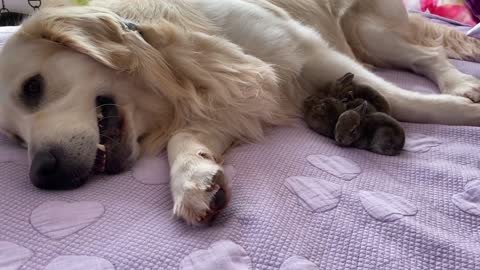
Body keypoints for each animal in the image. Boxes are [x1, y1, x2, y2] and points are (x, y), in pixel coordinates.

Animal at [0, 0, 480, 224]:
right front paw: (194, 180)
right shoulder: (237, 99)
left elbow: (402, 100)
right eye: (16, 141)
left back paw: (460, 84)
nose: (42, 174)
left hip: (368, 30)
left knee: (427, 56)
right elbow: (184, 139)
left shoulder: (308, 53)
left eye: (32, 88)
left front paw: (463, 112)